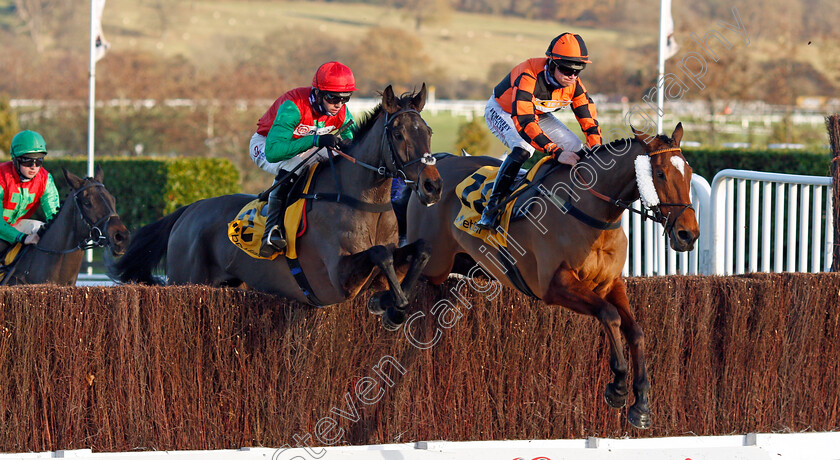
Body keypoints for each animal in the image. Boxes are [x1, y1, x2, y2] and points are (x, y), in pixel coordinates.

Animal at [110, 85, 446, 330]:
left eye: (428, 132)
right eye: (398, 133)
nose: (433, 185)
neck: (363, 202)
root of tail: (190, 209)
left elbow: (421, 249)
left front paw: (392, 306)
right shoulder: (336, 281)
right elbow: (380, 254)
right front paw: (392, 306)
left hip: (234, 284)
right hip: (187, 280)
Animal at [404, 124, 700, 430]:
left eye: (689, 172)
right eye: (660, 173)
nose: (688, 235)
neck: (593, 212)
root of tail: (440, 163)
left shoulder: (611, 283)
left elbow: (636, 330)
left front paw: (641, 404)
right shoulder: (554, 285)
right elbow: (609, 316)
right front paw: (618, 386)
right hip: (433, 263)